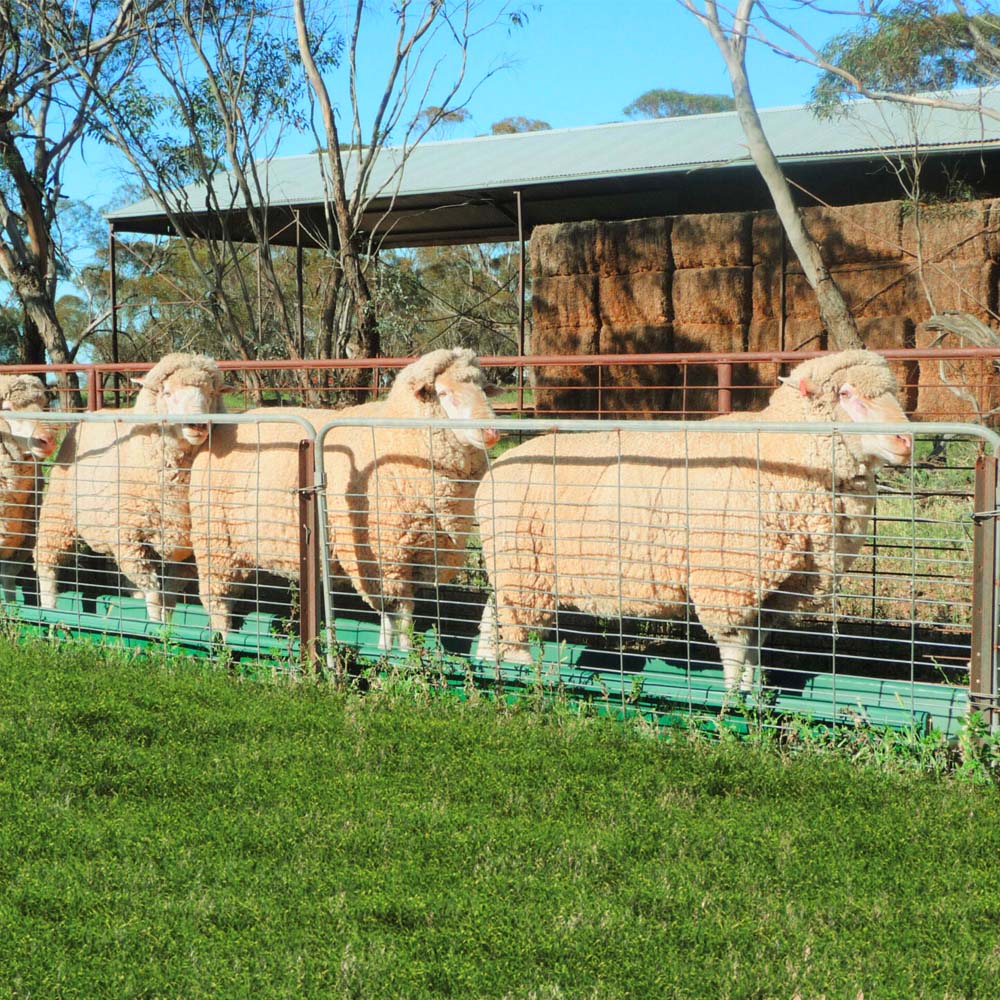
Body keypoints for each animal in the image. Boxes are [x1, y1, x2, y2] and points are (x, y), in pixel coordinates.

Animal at [34, 353, 227, 623]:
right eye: (167, 393)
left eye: (211, 392)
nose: (197, 426)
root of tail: (94, 412)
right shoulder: (128, 537)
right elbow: (153, 592)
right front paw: (157, 627)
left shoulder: (189, 548)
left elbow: (169, 591)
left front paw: (168, 623)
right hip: (58, 509)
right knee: (46, 560)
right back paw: (49, 611)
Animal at [188, 348, 499, 648]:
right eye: (443, 393)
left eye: (483, 388)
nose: (491, 432)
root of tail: (223, 426)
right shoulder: (379, 556)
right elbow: (393, 615)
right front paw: (390, 655)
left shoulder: (421, 557)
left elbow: (406, 618)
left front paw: (404, 652)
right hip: (214, 541)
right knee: (218, 604)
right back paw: (225, 646)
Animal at [474, 350, 913, 692]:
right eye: (845, 393)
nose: (906, 441)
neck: (780, 454)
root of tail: (495, 468)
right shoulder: (728, 579)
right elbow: (736, 650)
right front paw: (733, 701)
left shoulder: (776, 589)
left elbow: (755, 647)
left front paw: (752, 691)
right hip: (522, 566)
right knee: (514, 626)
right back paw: (523, 674)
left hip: (512, 566)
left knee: (494, 613)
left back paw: (485, 664)